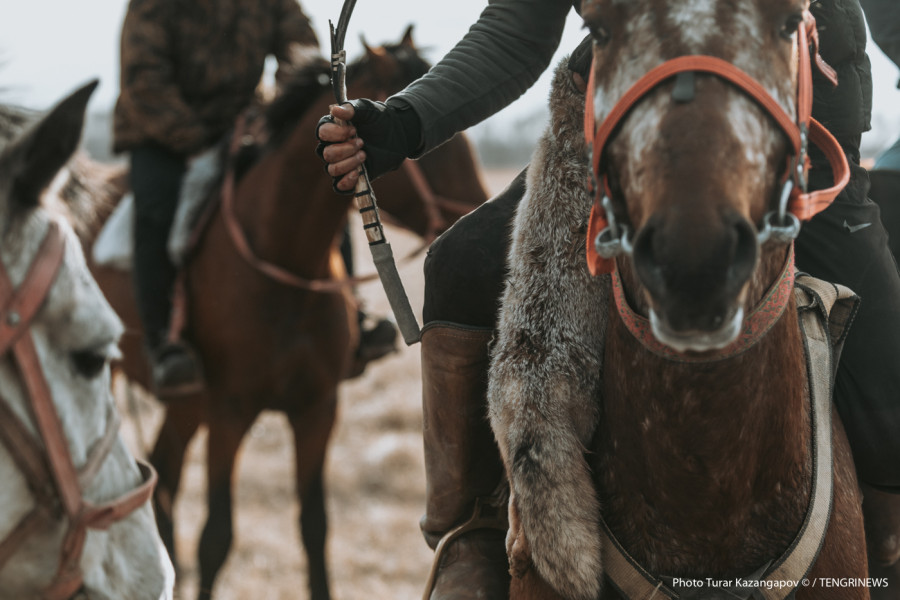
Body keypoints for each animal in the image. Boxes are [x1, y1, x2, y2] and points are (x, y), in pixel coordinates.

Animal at [86, 29, 486, 600]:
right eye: (430, 147)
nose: (475, 208)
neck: (280, 260)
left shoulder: (317, 409)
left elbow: (314, 528)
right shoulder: (229, 412)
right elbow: (217, 536)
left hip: (188, 404)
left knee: (163, 475)